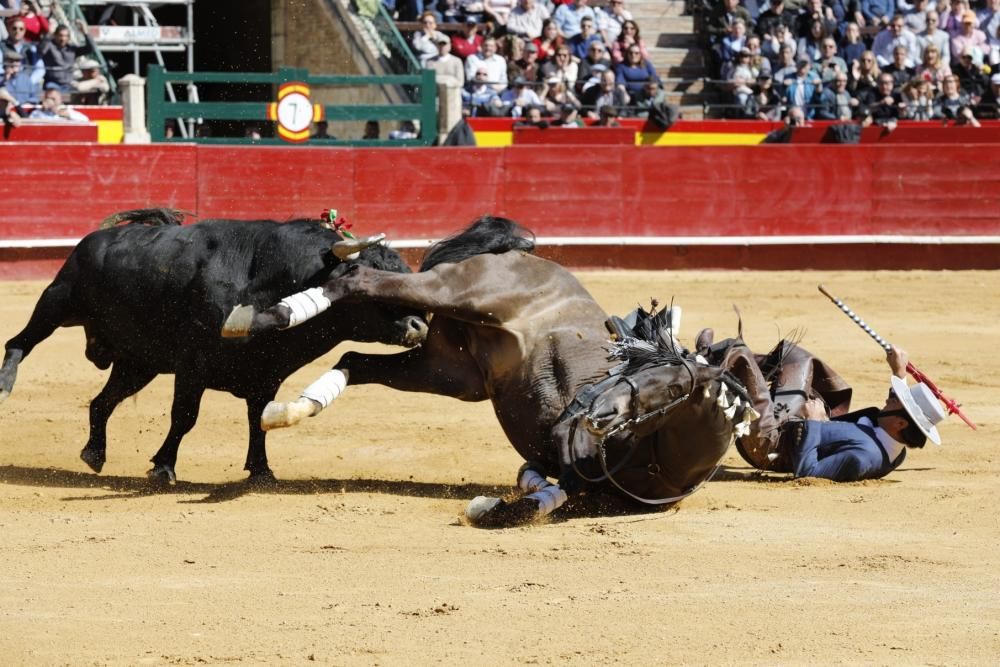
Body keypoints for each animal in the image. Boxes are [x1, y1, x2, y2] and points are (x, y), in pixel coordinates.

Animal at [0, 209, 426, 480]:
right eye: (364, 278)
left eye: (403, 272)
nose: (420, 326)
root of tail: (98, 237)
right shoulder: (193, 366)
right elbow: (185, 417)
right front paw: (163, 468)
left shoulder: (266, 375)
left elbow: (259, 421)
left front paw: (261, 471)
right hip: (58, 302)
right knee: (20, 342)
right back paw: (5, 384)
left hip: (138, 363)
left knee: (101, 402)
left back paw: (94, 454)